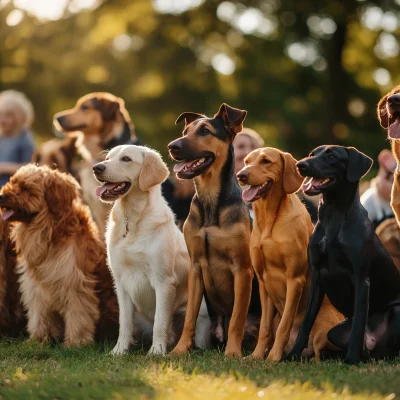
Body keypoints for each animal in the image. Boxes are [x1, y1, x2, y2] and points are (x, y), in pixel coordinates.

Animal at [93, 145, 211, 354]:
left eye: (126, 159)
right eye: (107, 158)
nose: (97, 168)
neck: (132, 218)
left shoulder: (164, 281)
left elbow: (160, 322)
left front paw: (156, 351)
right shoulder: (121, 283)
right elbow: (124, 323)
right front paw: (119, 351)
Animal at [168, 103, 260, 356]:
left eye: (205, 131)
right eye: (185, 131)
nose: (172, 146)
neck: (210, 199)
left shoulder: (242, 270)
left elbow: (238, 317)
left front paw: (233, 353)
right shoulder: (196, 267)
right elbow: (189, 317)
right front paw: (180, 350)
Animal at [238, 148, 344, 360]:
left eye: (266, 161)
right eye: (246, 161)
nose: (241, 175)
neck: (269, 220)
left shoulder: (294, 279)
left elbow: (284, 327)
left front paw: (273, 358)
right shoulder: (263, 280)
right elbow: (264, 328)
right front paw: (257, 356)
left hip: (322, 331)